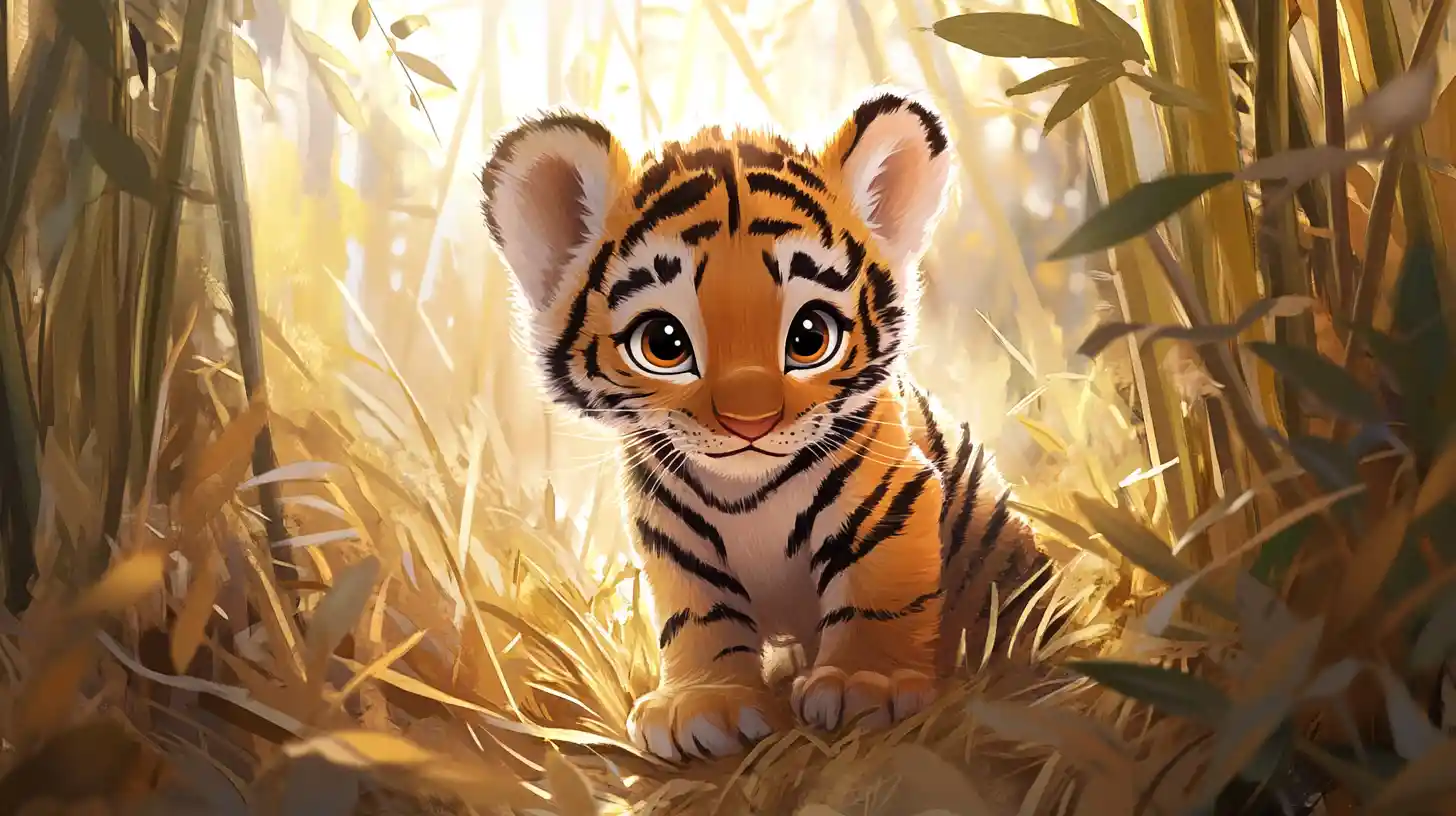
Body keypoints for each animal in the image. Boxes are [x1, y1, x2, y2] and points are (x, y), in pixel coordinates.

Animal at [480, 88, 1055, 762]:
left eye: (809, 336)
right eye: (663, 343)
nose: (747, 422)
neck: (745, 494)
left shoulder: (894, 494)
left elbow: (879, 590)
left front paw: (867, 682)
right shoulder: (670, 537)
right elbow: (697, 616)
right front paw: (702, 704)